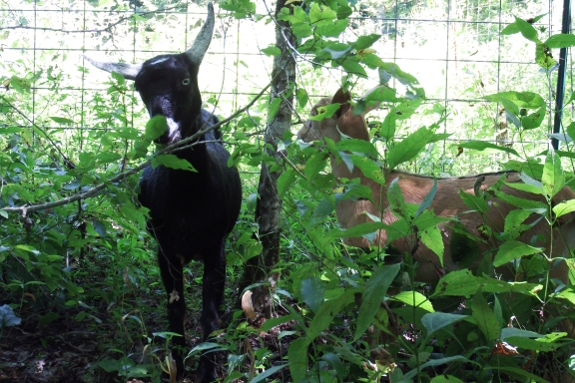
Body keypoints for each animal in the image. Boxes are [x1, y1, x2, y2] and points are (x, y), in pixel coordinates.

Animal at [84, 2, 242, 380]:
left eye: (184, 79)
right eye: (140, 89)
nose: (163, 132)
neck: (188, 199)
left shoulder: (216, 249)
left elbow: (209, 315)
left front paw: (207, 370)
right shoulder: (165, 250)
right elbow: (175, 310)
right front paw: (177, 365)